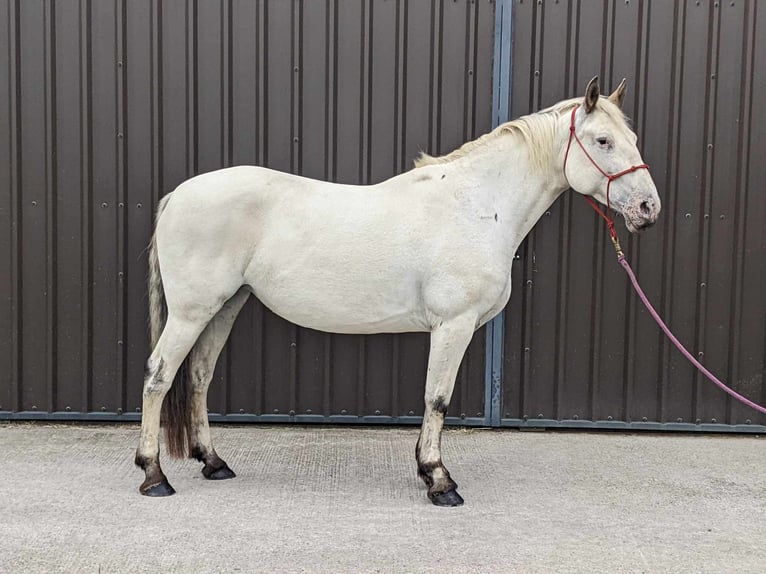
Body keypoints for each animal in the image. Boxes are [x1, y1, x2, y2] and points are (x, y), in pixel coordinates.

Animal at [136, 77, 660, 508]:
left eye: (633, 140)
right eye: (603, 141)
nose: (648, 208)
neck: (477, 205)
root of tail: (178, 195)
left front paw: (429, 473)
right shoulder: (454, 324)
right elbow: (437, 399)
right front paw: (439, 480)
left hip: (225, 306)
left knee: (198, 378)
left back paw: (213, 462)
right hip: (191, 312)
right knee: (159, 376)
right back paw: (154, 475)